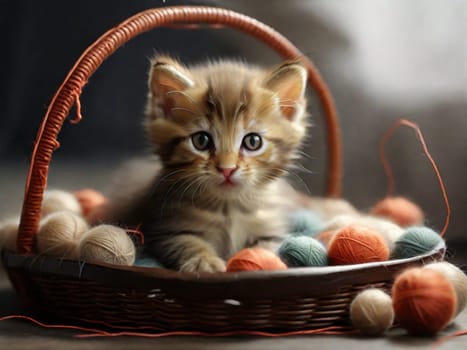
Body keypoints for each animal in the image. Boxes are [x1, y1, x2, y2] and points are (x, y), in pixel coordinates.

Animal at [103, 55, 354, 274]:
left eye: (253, 142)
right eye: (201, 141)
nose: (227, 169)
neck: (229, 208)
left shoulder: (271, 228)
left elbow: (269, 246)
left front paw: (264, 259)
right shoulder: (166, 228)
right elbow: (186, 242)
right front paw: (204, 262)